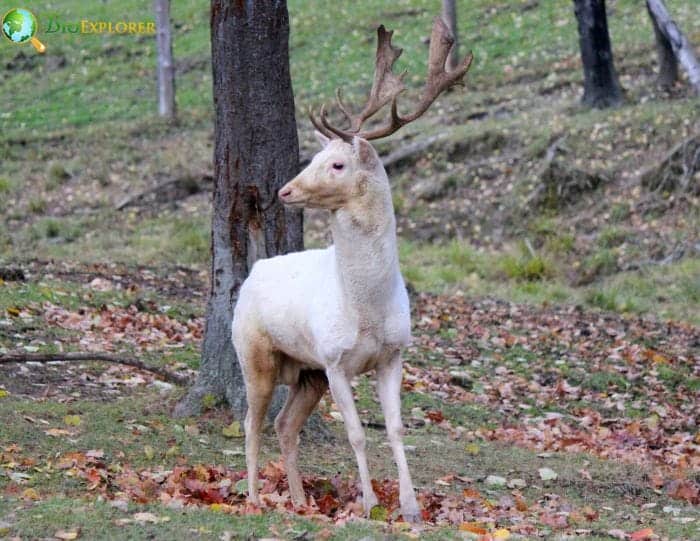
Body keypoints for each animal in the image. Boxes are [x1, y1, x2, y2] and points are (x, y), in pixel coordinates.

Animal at [231, 17, 472, 523]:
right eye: (313, 159)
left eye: (337, 164)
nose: (284, 191)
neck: (368, 307)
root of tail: (253, 272)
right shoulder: (336, 359)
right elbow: (357, 433)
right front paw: (368, 503)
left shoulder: (393, 354)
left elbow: (396, 429)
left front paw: (411, 507)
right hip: (254, 353)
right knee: (251, 421)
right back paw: (254, 497)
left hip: (307, 373)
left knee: (284, 424)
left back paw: (300, 500)